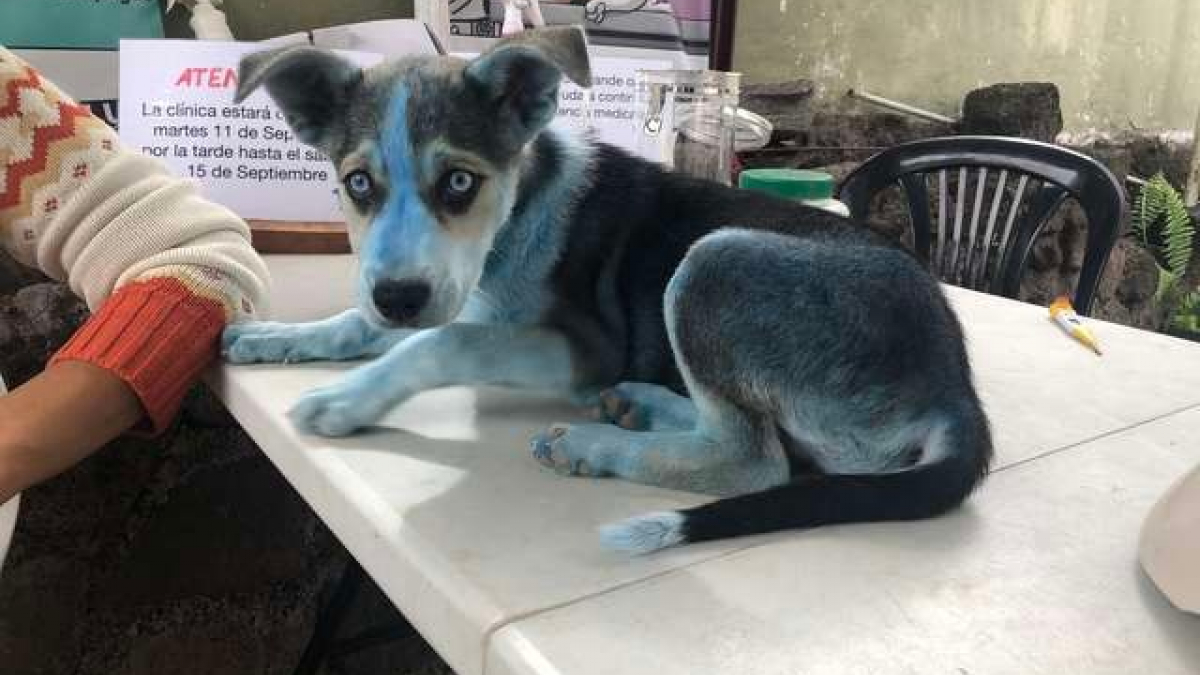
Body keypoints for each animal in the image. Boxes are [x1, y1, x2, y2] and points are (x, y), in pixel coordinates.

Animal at [226, 26, 993, 552]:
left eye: (459, 181)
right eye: (357, 184)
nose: (399, 298)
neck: (520, 208)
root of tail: (957, 387)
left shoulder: (583, 344)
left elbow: (445, 341)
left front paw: (347, 399)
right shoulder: (433, 286)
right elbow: (364, 320)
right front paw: (273, 336)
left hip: (715, 262)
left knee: (755, 459)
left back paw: (596, 444)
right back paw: (641, 404)